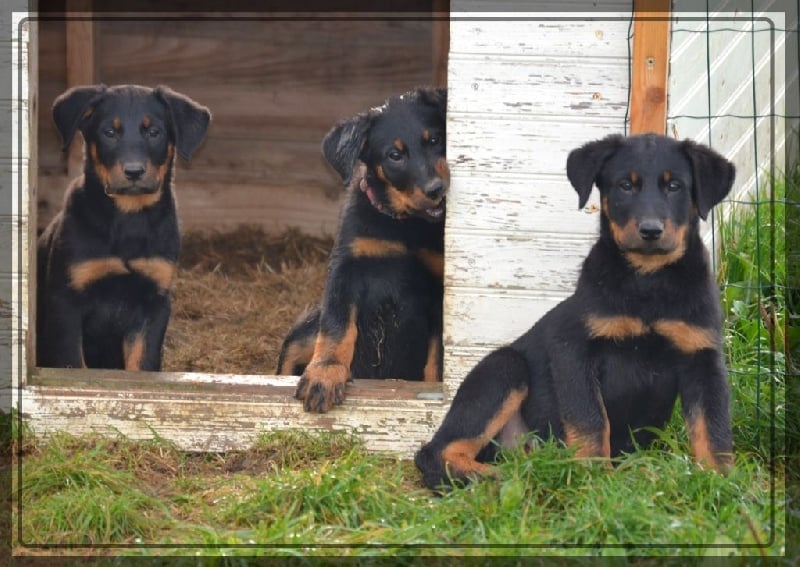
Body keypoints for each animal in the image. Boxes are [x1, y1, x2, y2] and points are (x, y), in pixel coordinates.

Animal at [36, 83, 212, 368]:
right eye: (109, 132)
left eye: (154, 132)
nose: (134, 171)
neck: (129, 217)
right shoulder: (66, 301)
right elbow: (72, 361)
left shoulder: (154, 301)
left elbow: (142, 363)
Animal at [276, 86, 450, 412]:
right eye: (395, 155)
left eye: (435, 140)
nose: (436, 190)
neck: (403, 224)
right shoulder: (346, 270)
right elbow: (337, 328)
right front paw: (325, 375)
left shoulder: (439, 289)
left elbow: (437, 354)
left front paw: (436, 389)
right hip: (300, 335)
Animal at [418, 134, 736, 492]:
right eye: (625, 185)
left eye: (675, 186)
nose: (651, 230)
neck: (648, 280)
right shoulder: (573, 348)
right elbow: (591, 420)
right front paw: (595, 478)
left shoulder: (702, 355)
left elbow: (713, 428)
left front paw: (721, 484)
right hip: (504, 368)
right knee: (435, 453)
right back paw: (502, 477)